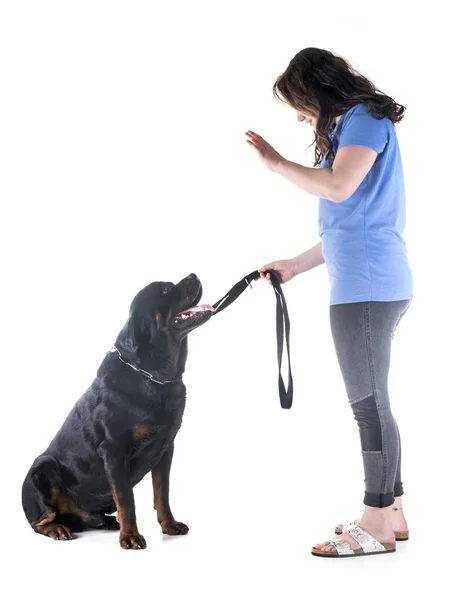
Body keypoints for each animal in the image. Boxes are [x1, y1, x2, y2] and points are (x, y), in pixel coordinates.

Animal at [22, 274, 214, 552]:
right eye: (166, 291)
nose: (193, 275)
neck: (155, 375)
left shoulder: (165, 448)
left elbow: (162, 492)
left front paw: (169, 525)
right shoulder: (114, 450)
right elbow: (126, 499)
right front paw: (130, 536)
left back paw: (106, 522)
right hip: (42, 467)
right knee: (39, 521)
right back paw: (58, 528)